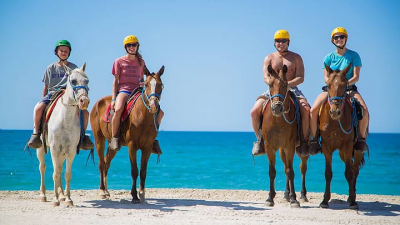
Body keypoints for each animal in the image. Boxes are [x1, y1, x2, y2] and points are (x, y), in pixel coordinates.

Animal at [36, 62, 90, 206]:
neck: (65, 118)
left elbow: (66, 174)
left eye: (87, 81)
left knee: (59, 168)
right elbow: (55, 173)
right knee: (43, 167)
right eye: (73, 81)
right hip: (41, 148)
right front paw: (55, 200)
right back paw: (43, 195)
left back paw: (61, 195)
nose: (84, 101)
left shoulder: (70, 150)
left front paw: (68, 199)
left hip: (63, 152)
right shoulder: (54, 148)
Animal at [90, 65, 164, 204]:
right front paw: (134, 196)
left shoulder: (147, 147)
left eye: (161, 85)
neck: (142, 115)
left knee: (107, 162)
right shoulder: (132, 146)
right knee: (101, 163)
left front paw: (142, 194)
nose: (153, 106)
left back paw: (106, 191)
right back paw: (102, 191)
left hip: (112, 144)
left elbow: (143, 171)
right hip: (99, 139)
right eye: (146, 84)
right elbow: (134, 171)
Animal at [260, 64, 308, 207]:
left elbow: (290, 172)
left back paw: (302, 195)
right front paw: (270, 198)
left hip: (302, 151)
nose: (277, 108)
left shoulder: (290, 147)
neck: (278, 120)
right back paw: (286, 194)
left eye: (285, 84)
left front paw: (294, 199)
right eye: (270, 84)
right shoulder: (270, 147)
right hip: (282, 151)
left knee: (302, 168)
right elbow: (273, 172)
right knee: (287, 166)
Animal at [318, 62, 366, 209]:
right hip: (341, 152)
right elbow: (328, 173)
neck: (335, 122)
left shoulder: (348, 146)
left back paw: (353, 196)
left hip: (356, 150)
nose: (335, 112)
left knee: (355, 169)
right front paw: (324, 201)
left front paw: (353, 202)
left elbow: (349, 173)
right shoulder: (327, 147)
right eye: (327, 85)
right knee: (352, 166)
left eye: (345, 85)